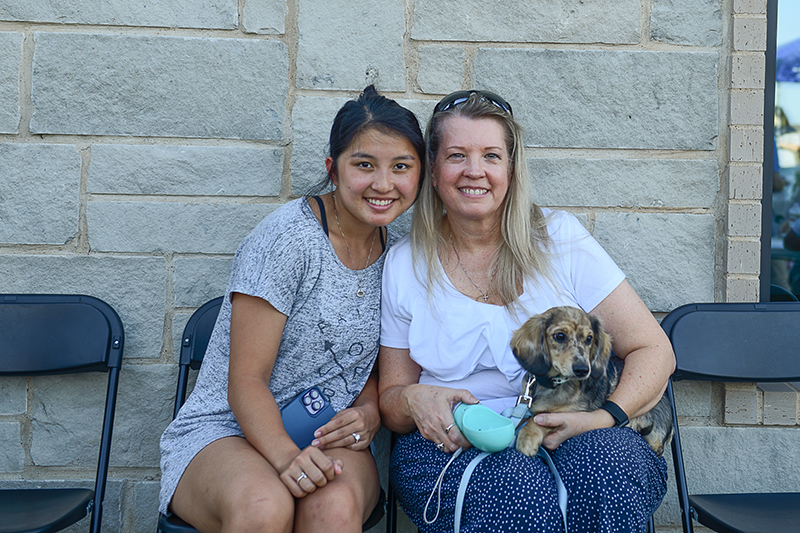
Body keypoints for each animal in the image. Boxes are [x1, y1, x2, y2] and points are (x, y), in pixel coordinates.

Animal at [510, 308, 672, 458]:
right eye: (560, 336)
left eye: (589, 338)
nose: (583, 369)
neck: (554, 384)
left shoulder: (568, 413)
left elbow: (537, 419)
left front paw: (527, 436)